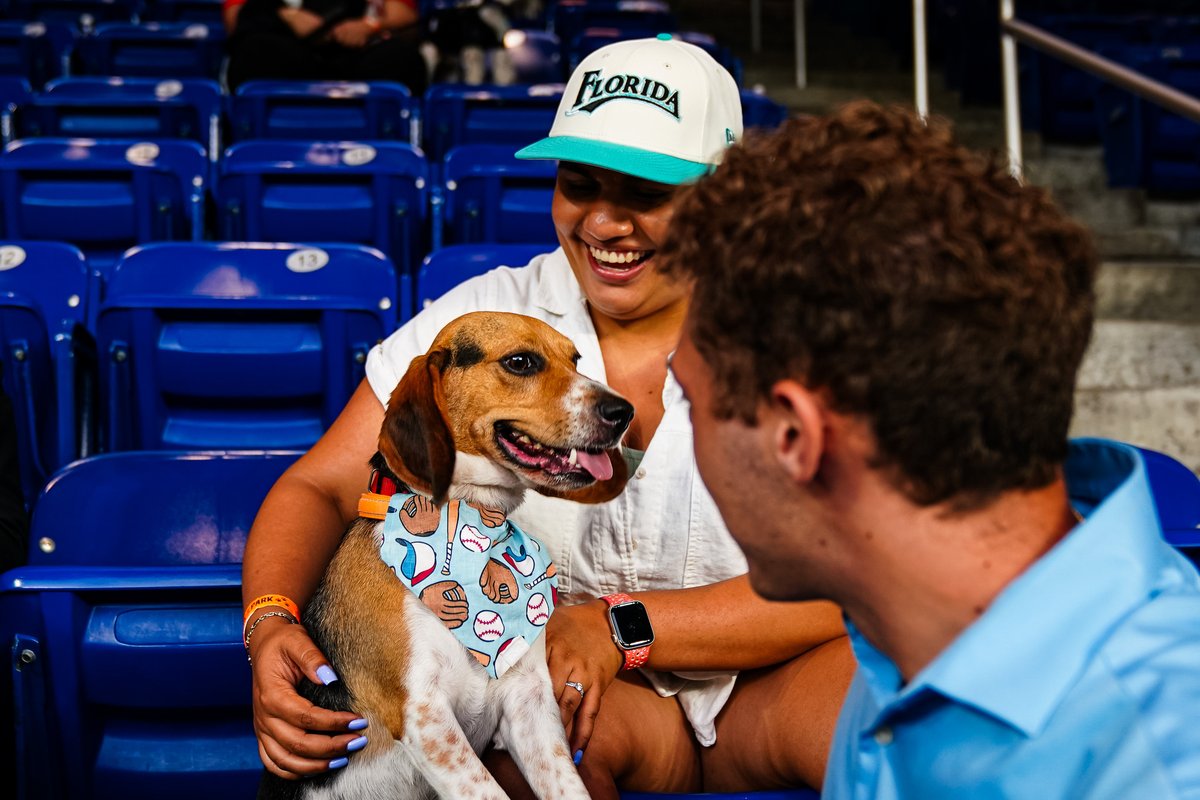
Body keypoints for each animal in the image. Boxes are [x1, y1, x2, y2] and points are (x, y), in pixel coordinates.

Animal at [258, 309, 633, 796]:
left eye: (575, 359)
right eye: (520, 362)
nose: (624, 412)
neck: (474, 516)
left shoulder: (531, 703)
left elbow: (568, 785)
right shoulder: (425, 716)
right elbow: (488, 789)